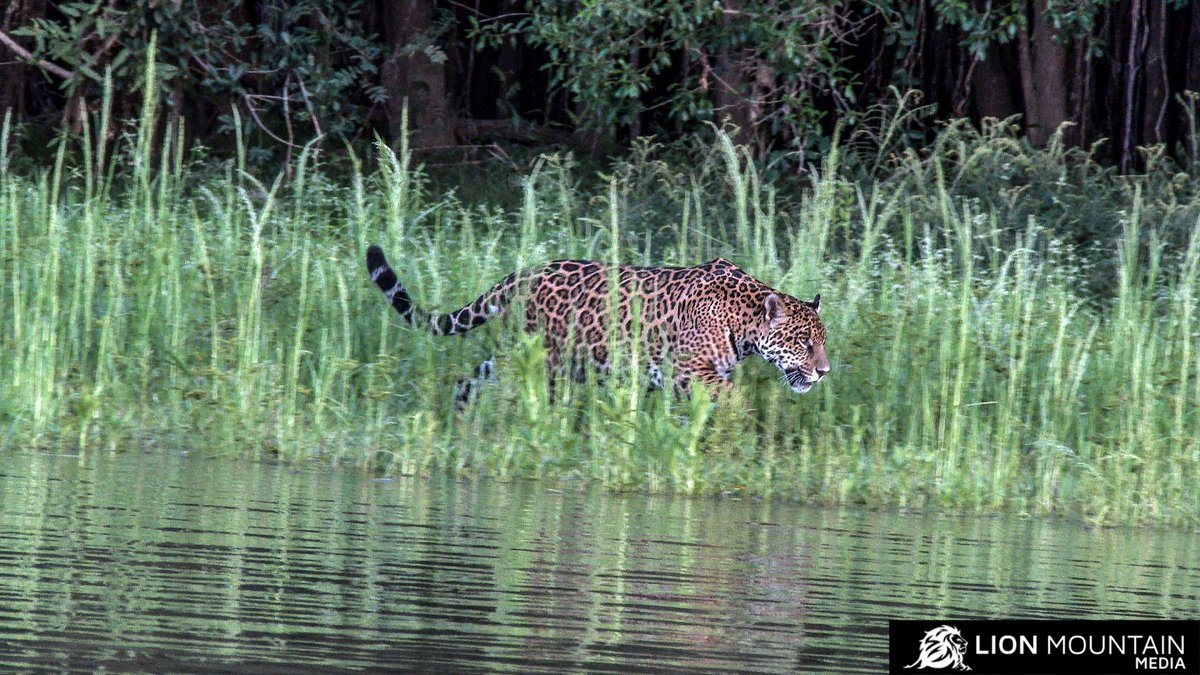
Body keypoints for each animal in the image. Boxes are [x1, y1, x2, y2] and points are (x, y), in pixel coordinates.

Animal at [366, 244, 829, 403]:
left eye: (822, 341)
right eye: (804, 342)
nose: (824, 371)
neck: (743, 318)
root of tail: (520, 274)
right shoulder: (688, 372)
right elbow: (733, 399)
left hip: (521, 355)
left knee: (471, 380)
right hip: (544, 362)